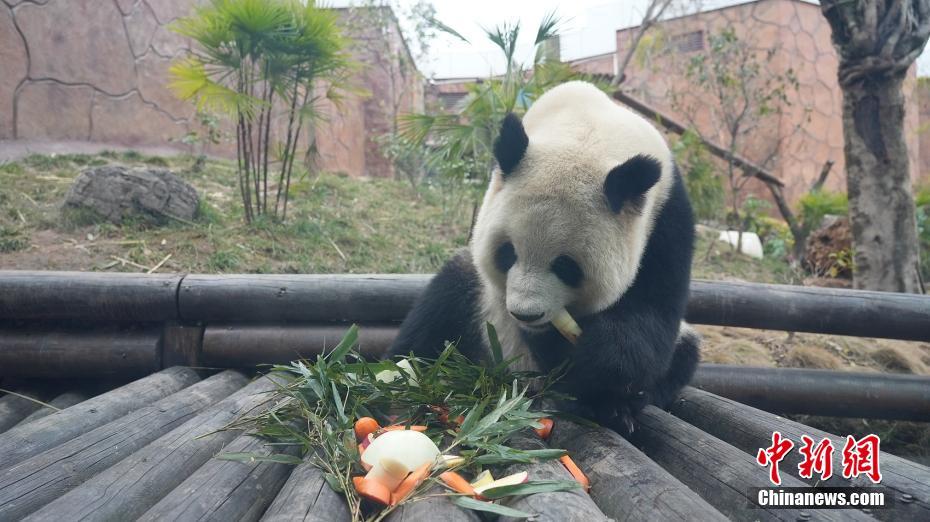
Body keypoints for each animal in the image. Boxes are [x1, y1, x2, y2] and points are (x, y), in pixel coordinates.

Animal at [387, 81, 700, 435]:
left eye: (566, 266)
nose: (526, 314)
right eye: (507, 252)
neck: (588, 129)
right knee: (438, 310)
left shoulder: (667, 217)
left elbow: (652, 312)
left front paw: (597, 360)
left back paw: (615, 408)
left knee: (683, 351)